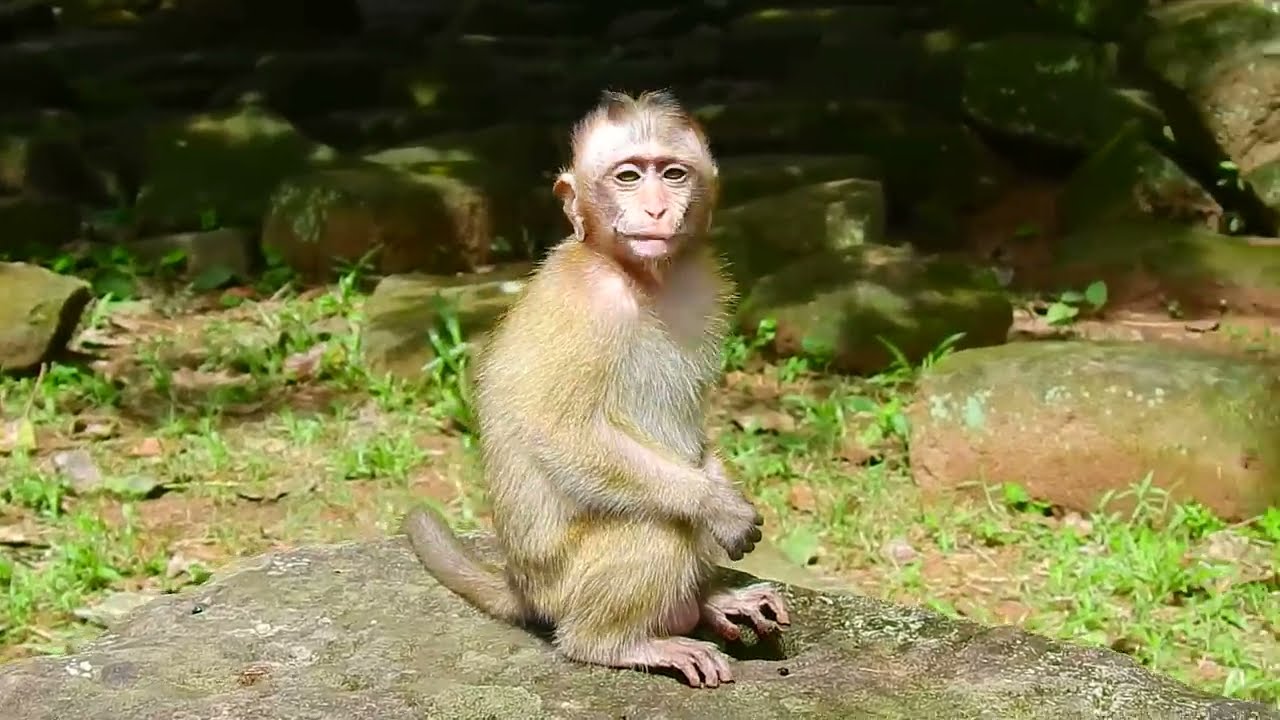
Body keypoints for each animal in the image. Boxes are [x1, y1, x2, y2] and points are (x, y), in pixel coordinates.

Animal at [402, 89, 790, 689]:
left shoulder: (703, 287)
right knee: (658, 526)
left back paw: (706, 599)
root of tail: (522, 586)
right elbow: (561, 433)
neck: (637, 275)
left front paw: (719, 492)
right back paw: (616, 642)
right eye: (628, 176)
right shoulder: (587, 307)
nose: (655, 209)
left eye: (672, 173)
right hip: (566, 583)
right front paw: (717, 506)